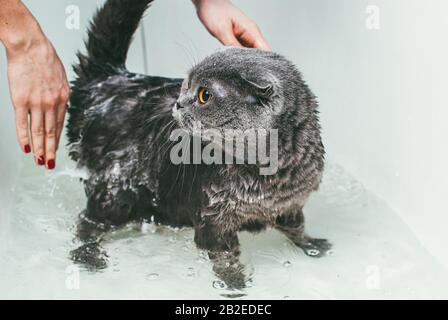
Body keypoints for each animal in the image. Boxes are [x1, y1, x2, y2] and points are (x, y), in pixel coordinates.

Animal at [67, 0, 332, 288]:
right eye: (185, 85)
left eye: (204, 95)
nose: (178, 102)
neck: (265, 179)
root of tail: (110, 79)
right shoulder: (213, 220)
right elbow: (226, 257)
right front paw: (234, 284)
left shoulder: (290, 206)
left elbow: (298, 228)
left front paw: (313, 246)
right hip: (114, 192)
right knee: (87, 225)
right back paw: (89, 257)